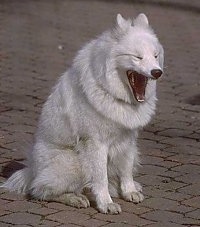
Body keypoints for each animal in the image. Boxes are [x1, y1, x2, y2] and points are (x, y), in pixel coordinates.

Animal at [1, 13, 164, 214]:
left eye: (155, 56)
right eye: (138, 57)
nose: (157, 72)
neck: (113, 93)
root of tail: (31, 170)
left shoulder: (128, 140)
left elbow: (126, 170)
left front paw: (129, 192)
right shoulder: (96, 144)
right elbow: (100, 178)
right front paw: (106, 204)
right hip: (73, 162)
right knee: (40, 191)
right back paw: (75, 198)